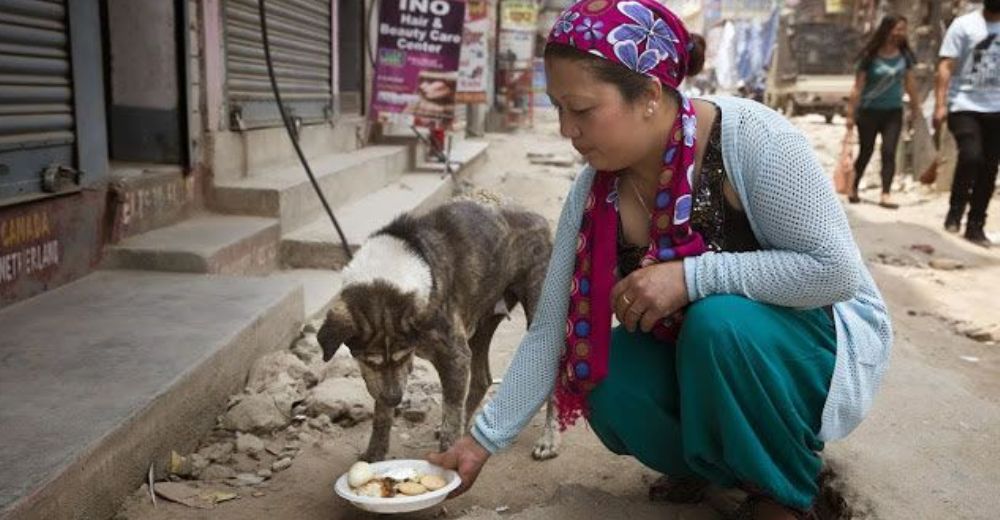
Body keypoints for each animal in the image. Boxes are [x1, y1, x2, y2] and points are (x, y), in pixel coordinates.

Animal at [316, 197, 560, 462]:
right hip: (481, 323)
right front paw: (374, 454)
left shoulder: (453, 356)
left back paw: (549, 438)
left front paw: (448, 458)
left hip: (541, 314)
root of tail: (538, 218)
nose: (395, 399)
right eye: (370, 361)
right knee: (482, 378)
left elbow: (451, 417)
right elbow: (382, 414)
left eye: (402, 356)